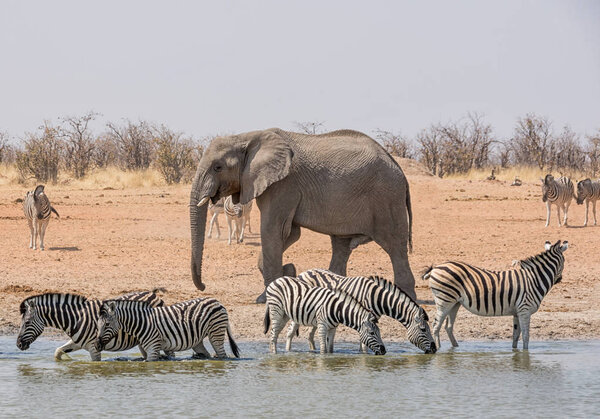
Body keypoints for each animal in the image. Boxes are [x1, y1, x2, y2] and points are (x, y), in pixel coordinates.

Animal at [16, 290, 166, 362]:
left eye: (27, 323)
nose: (18, 344)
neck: (76, 318)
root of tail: (153, 294)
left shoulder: (94, 348)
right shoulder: (78, 343)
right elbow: (58, 351)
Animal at [97, 296, 240, 362]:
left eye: (107, 325)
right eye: (97, 325)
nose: (97, 345)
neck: (142, 322)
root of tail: (218, 301)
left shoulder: (153, 347)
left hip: (216, 332)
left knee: (222, 355)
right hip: (198, 340)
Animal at [190, 128, 414, 302]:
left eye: (218, 167)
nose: (203, 286)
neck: (246, 136)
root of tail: (400, 170)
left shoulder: (283, 184)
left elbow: (274, 231)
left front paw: (265, 297)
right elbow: (290, 233)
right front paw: (288, 272)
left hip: (386, 198)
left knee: (395, 246)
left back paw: (406, 296)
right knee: (341, 245)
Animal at [288, 270, 436, 354]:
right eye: (423, 329)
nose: (435, 349)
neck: (376, 297)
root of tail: (303, 272)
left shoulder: (367, 319)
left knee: (310, 334)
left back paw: (312, 351)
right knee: (292, 332)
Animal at [424, 240, 568, 352]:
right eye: (564, 262)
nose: (559, 279)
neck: (534, 279)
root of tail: (435, 268)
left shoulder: (517, 312)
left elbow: (516, 335)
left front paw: (515, 352)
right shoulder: (525, 310)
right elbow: (526, 336)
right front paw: (525, 353)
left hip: (454, 303)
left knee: (448, 326)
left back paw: (456, 348)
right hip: (444, 300)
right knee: (436, 325)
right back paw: (439, 349)